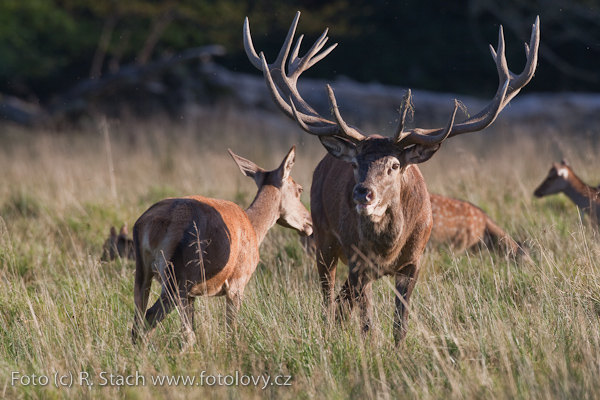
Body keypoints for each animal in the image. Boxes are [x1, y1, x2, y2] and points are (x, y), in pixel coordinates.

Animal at [129, 148, 312, 350]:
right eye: (299, 189)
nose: (309, 222)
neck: (253, 228)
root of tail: (150, 224)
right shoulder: (236, 284)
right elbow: (230, 331)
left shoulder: (193, 294)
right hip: (177, 281)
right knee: (156, 320)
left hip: (144, 274)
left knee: (139, 322)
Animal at [244, 13, 540, 344]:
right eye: (356, 163)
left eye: (395, 165)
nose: (363, 193)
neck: (388, 248)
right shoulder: (359, 261)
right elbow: (368, 324)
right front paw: (370, 349)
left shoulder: (413, 262)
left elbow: (400, 324)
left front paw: (398, 350)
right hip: (322, 237)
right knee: (328, 297)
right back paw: (329, 331)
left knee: (341, 302)